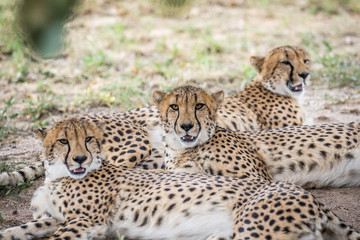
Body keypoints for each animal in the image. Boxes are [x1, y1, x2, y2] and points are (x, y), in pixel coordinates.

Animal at [1, 117, 358, 239]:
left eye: (89, 140)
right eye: (63, 141)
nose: (80, 159)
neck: (58, 175)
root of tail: (312, 198)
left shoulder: (87, 221)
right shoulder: (52, 218)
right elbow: (20, 228)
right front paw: (10, 233)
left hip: (255, 228)